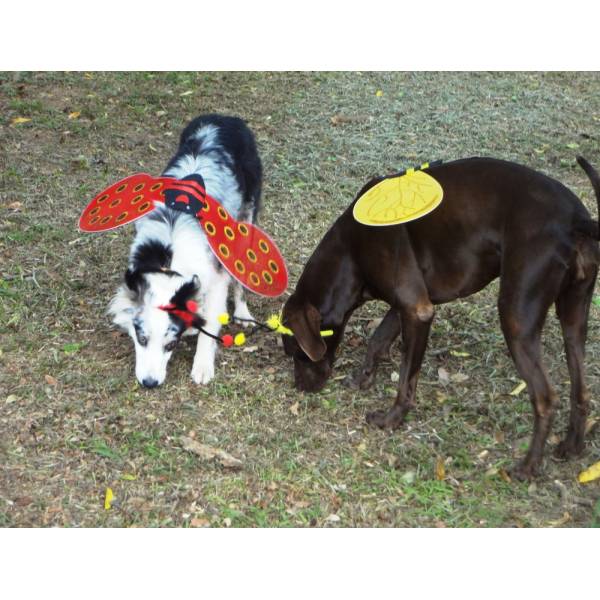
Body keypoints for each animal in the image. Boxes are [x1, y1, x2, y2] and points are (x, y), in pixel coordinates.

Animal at [108, 116, 262, 390]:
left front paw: (202, 366)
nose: (149, 383)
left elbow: (210, 324)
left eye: (170, 344)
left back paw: (243, 312)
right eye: (142, 338)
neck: (169, 260)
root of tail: (224, 118)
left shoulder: (216, 279)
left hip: (245, 225)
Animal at [282, 157, 600, 480]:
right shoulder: (410, 305)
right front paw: (363, 378)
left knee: (546, 398)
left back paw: (528, 466)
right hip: (574, 317)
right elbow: (377, 340)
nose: (299, 387)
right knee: (581, 390)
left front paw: (391, 419)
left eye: (295, 351)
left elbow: (406, 377)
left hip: (517, 320)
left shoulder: (417, 309)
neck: (351, 248)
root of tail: (575, 219)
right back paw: (572, 446)